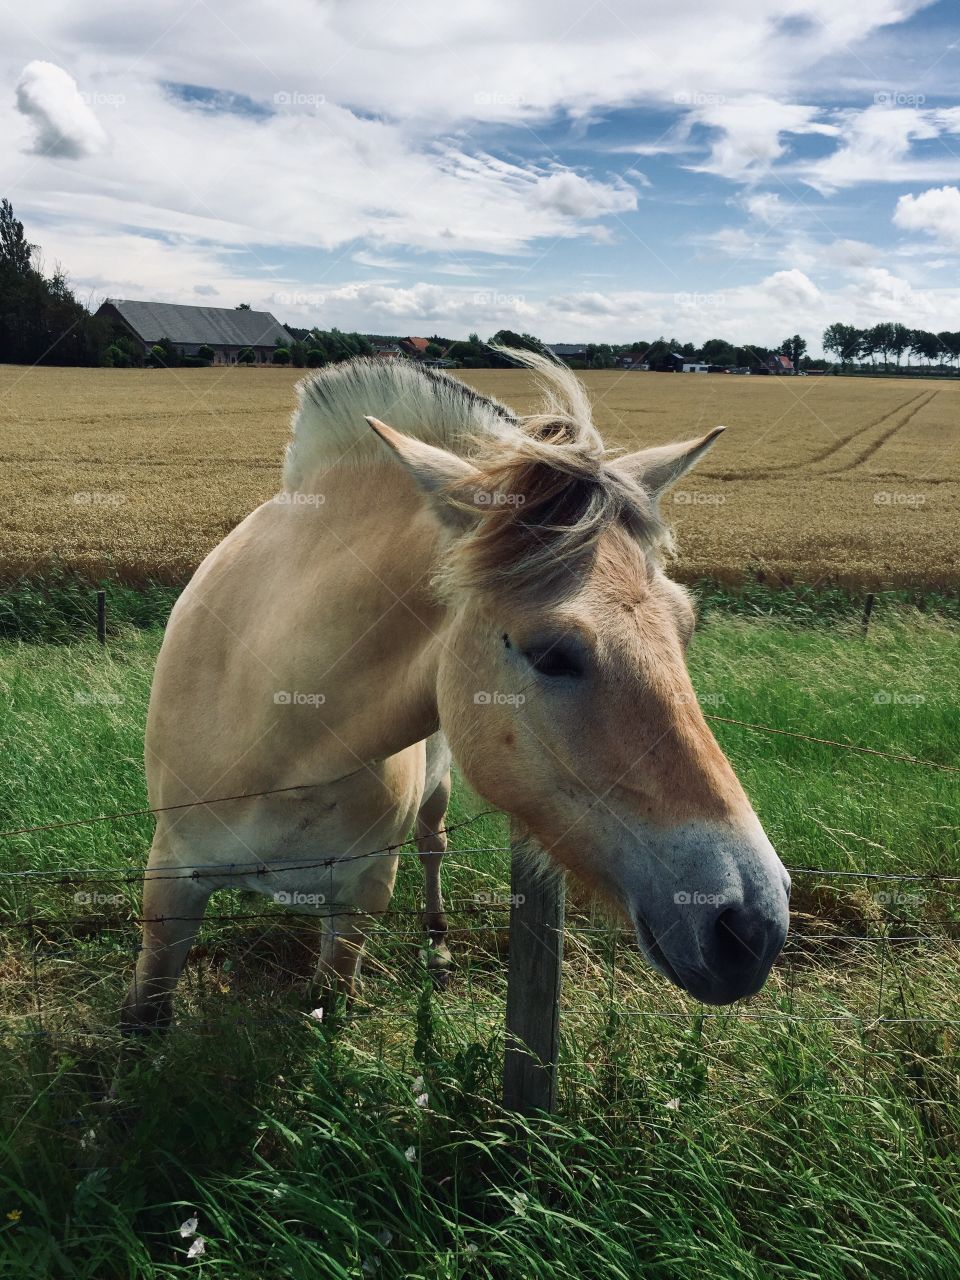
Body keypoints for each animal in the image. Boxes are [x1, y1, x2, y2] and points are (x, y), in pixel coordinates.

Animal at [121, 350, 790, 1033]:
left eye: (688, 625)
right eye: (550, 654)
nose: (751, 924)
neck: (283, 735)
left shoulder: (363, 895)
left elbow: (333, 996)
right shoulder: (170, 880)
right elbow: (146, 1011)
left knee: (433, 847)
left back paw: (438, 946)